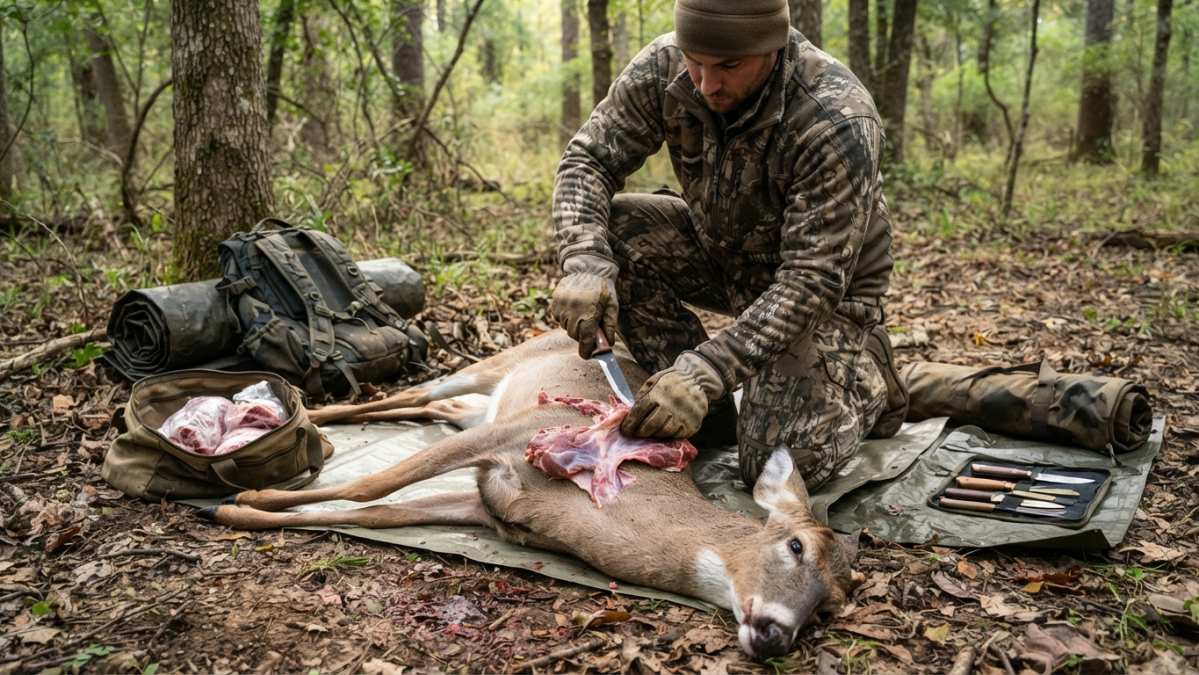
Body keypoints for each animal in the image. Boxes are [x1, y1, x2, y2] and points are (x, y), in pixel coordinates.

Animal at [200, 329, 861, 659]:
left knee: (432, 408)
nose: (775, 638)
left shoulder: (486, 505)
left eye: (831, 607)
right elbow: (376, 483)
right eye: (796, 546)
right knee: (406, 393)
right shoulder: (514, 437)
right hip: (498, 366)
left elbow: (386, 510)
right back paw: (303, 417)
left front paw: (236, 509)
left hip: (481, 405)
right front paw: (247, 497)